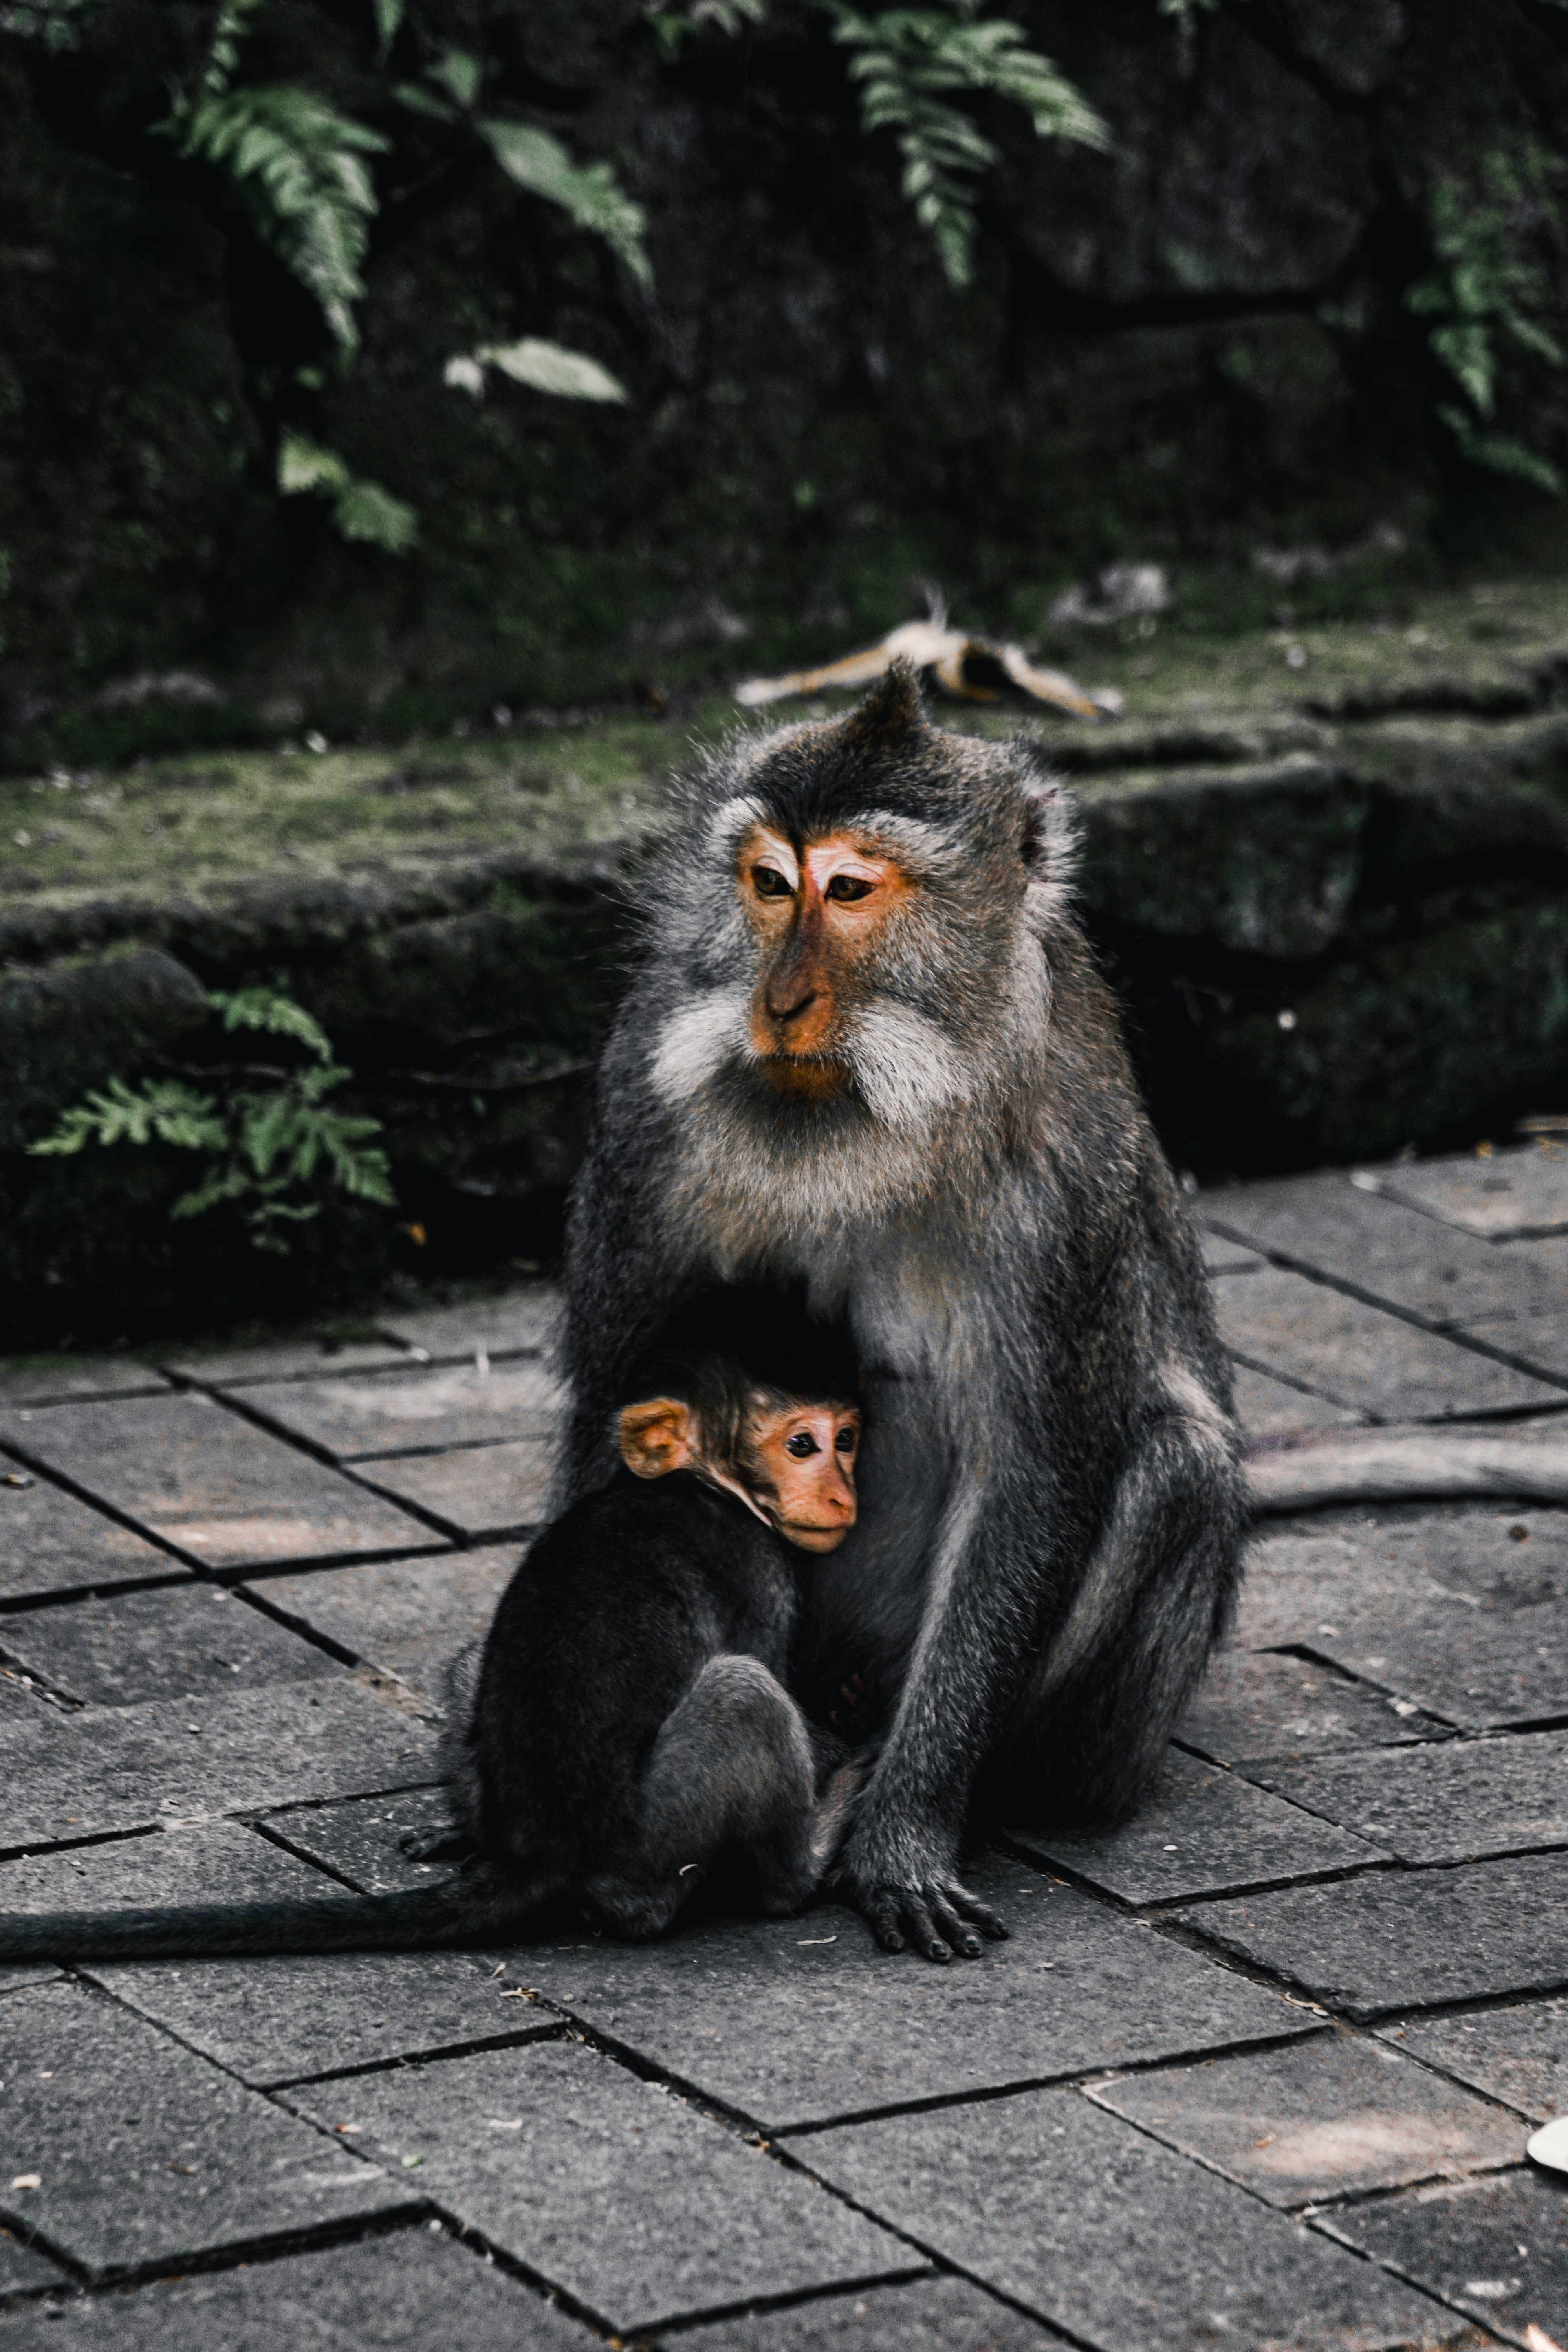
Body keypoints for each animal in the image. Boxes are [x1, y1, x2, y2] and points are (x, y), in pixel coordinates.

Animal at [0, 1298, 870, 1963]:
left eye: (848, 1439)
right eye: (802, 1444)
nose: (843, 1494)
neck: (700, 1483)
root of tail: (535, 1848)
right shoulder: (756, 1568)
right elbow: (772, 1671)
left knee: (471, 1663)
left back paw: (464, 1834)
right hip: (653, 1836)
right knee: (743, 1694)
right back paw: (803, 1862)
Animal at [552, 659, 1249, 1965]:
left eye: (851, 889)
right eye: (769, 883)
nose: (779, 998)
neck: (862, 1108)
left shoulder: (1065, 1178)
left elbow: (1037, 1470)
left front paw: (905, 1832)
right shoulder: (638, 1105)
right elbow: (614, 1392)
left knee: (1177, 1467)